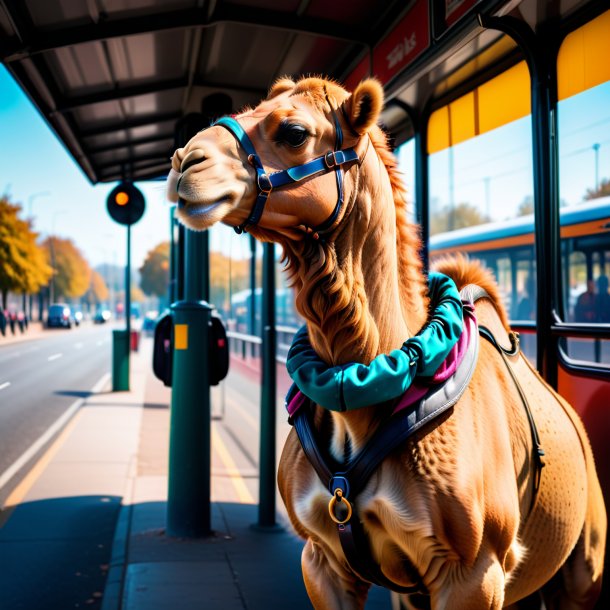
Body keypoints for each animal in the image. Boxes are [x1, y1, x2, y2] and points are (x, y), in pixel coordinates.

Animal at [165, 76, 604, 608]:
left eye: (293, 132)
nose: (186, 161)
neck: (360, 403)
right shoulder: (324, 559)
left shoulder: (474, 573)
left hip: (582, 569)